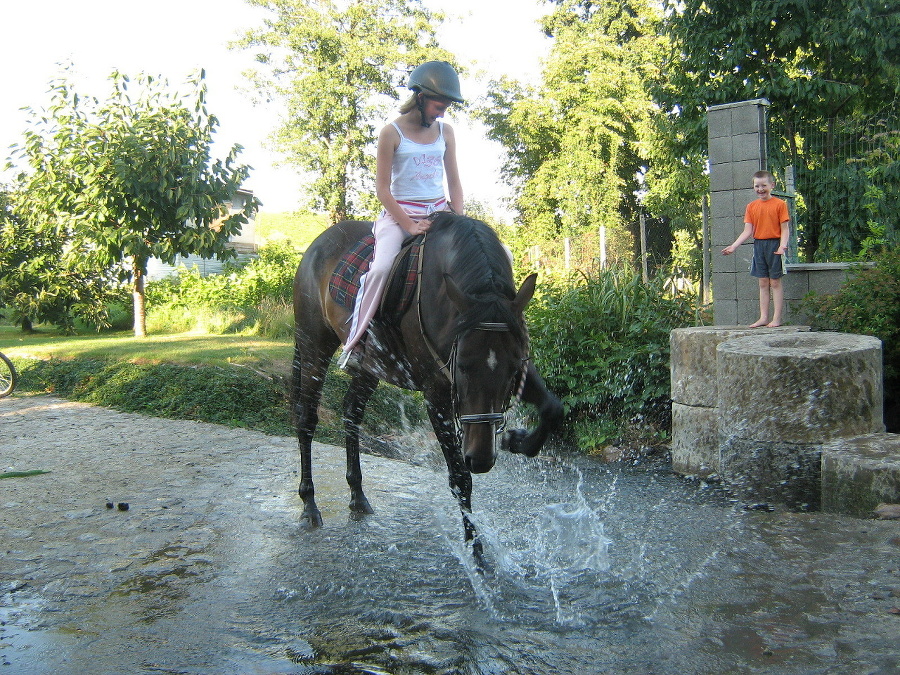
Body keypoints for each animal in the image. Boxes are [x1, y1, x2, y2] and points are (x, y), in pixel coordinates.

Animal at [292, 213, 564, 556]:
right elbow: (460, 477)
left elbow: (554, 408)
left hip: (370, 365)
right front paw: (476, 551)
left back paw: (357, 496)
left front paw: (519, 441)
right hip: (313, 345)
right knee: (306, 418)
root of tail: (318, 244)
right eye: (462, 365)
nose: (482, 458)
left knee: (351, 413)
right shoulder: (437, 395)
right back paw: (309, 504)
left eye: (512, 367)